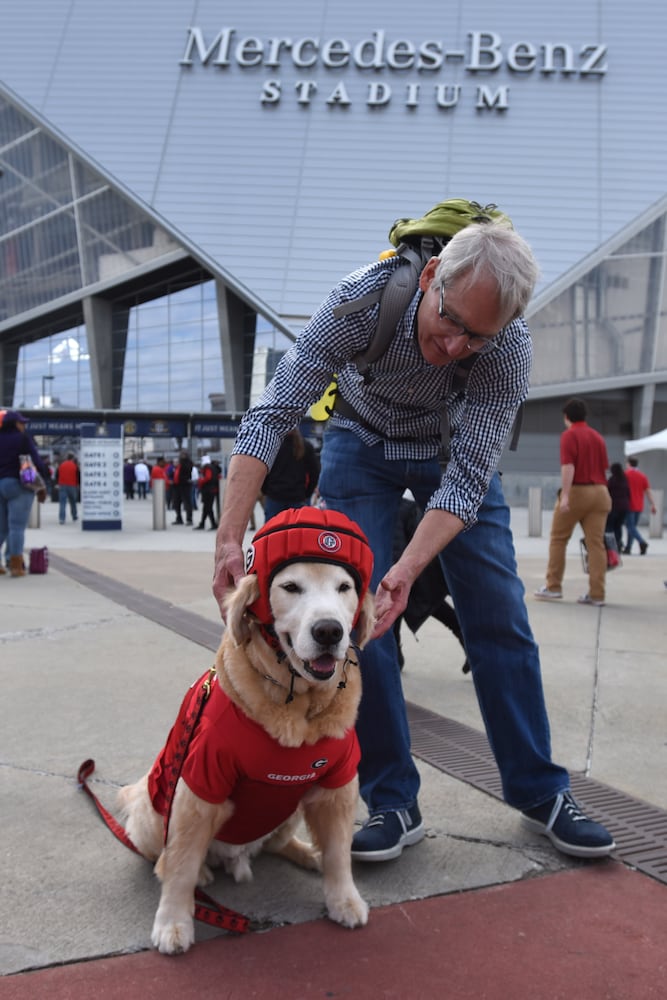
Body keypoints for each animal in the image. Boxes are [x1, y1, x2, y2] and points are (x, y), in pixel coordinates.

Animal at [117, 512, 374, 956]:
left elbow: (339, 852)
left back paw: (309, 853)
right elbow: (181, 866)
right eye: (291, 587)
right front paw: (173, 922)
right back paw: (200, 875)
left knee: (278, 843)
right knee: (167, 857)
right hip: (154, 811)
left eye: (344, 588)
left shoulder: (336, 784)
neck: (297, 707)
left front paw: (343, 899)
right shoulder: (200, 786)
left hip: (292, 805)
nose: (329, 631)